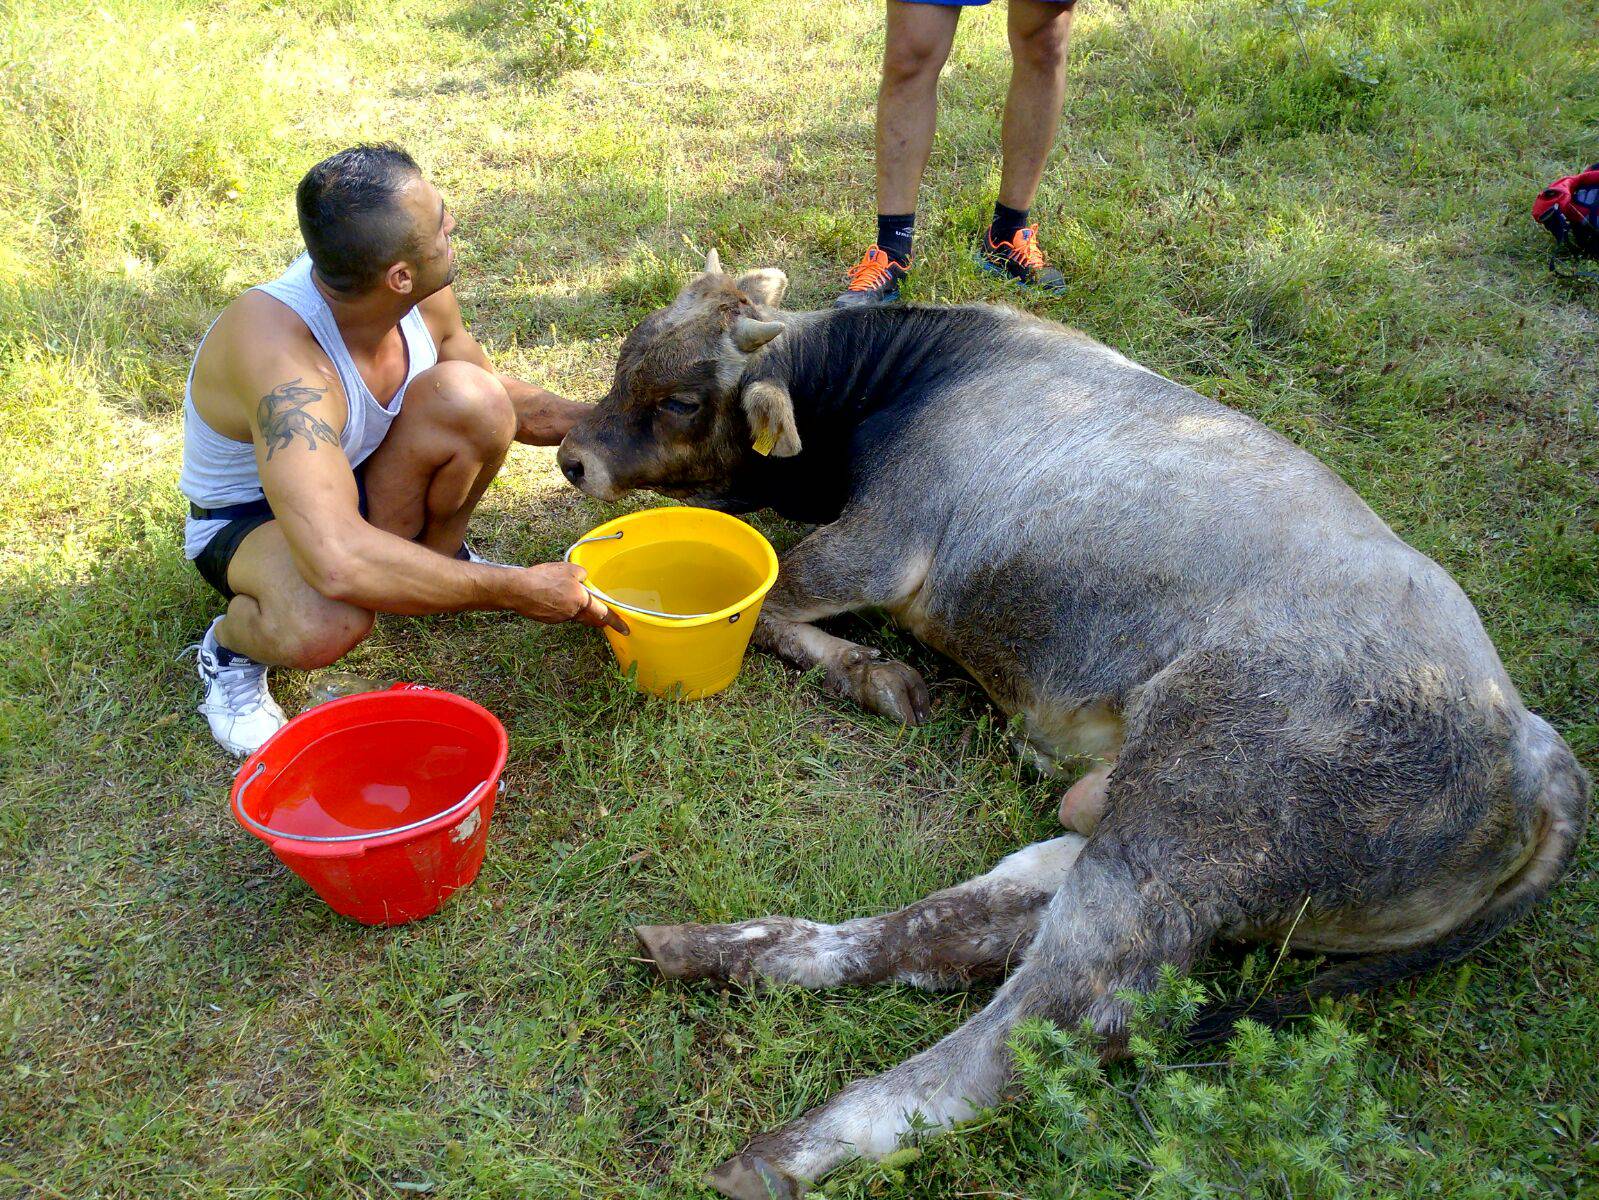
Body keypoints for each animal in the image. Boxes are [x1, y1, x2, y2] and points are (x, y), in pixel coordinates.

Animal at [553, 256, 1586, 1200]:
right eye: (624, 361)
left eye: (680, 399)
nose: (571, 455)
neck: (910, 378)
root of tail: (1532, 743)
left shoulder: (876, 547)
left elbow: (770, 607)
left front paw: (870, 674)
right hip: (1130, 828)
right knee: (957, 929)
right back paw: (726, 952)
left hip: (1184, 829)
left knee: (1055, 1017)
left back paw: (787, 1153)